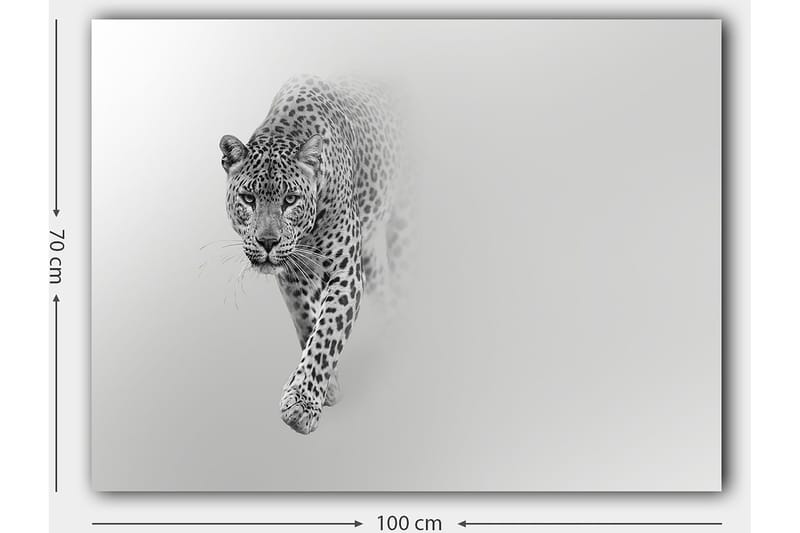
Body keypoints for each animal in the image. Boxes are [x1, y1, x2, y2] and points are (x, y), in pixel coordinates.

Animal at [218, 76, 407, 434]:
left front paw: (302, 404)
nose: (267, 242)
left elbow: (328, 331)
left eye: (290, 199)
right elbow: (307, 322)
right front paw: (327, 387)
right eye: (248, 198)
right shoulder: (294, 275)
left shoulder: (347, 273)